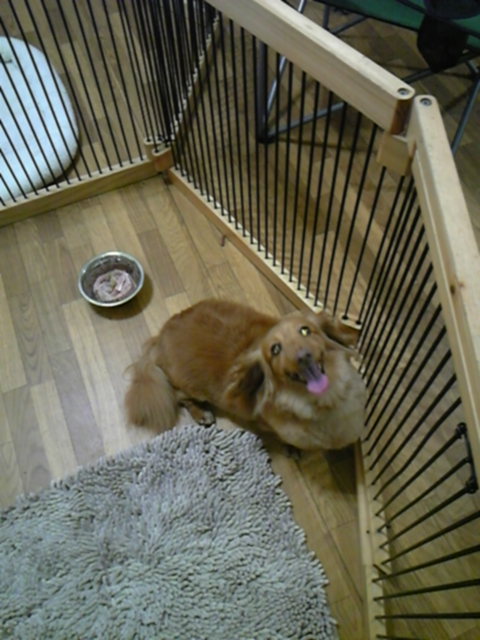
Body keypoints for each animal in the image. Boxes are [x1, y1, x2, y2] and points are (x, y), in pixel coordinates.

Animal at [125, 299, 366, 450]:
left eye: (305, 330)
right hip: (192, 388)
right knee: (179, 397)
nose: (303, 357)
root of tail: (159, 337)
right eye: (275, 349)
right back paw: (201, 413)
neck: (328, 401)